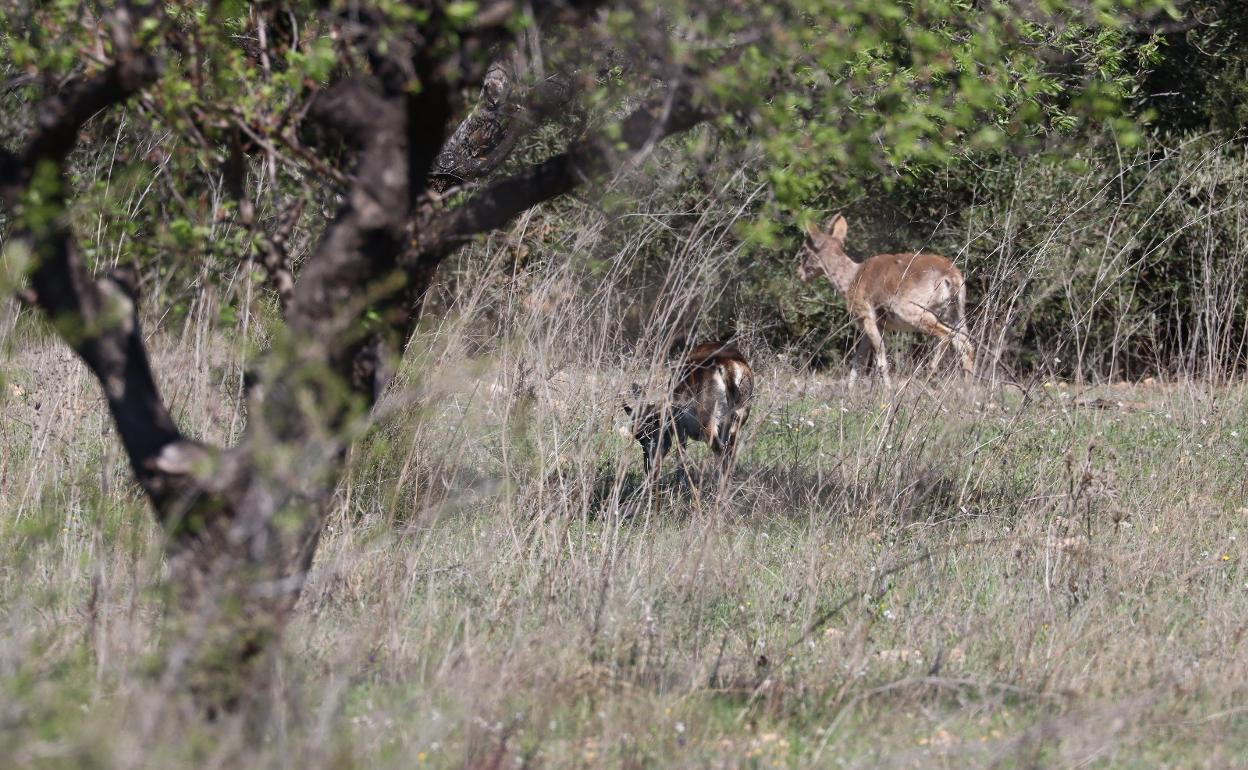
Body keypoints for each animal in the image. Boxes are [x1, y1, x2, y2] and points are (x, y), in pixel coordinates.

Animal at [621, 339, 748, 476]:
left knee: (719, 449)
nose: (649, 468)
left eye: (647, 434)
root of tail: (727, 365)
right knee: (730, 451)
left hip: (709, 423)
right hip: (737, 421)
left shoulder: (679, 426)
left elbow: (680, 455)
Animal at [798, 213, 973, 386]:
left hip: (913, 311)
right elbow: (858, 361)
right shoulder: (877, 325)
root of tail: (951, 276)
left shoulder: (866, 315)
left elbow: (880, 358)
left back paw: (928, 376)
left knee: (946, 336)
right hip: (956, 313)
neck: (851, 278)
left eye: (804, 250)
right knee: (966, 344)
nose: (799, 274)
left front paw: (888, 391)